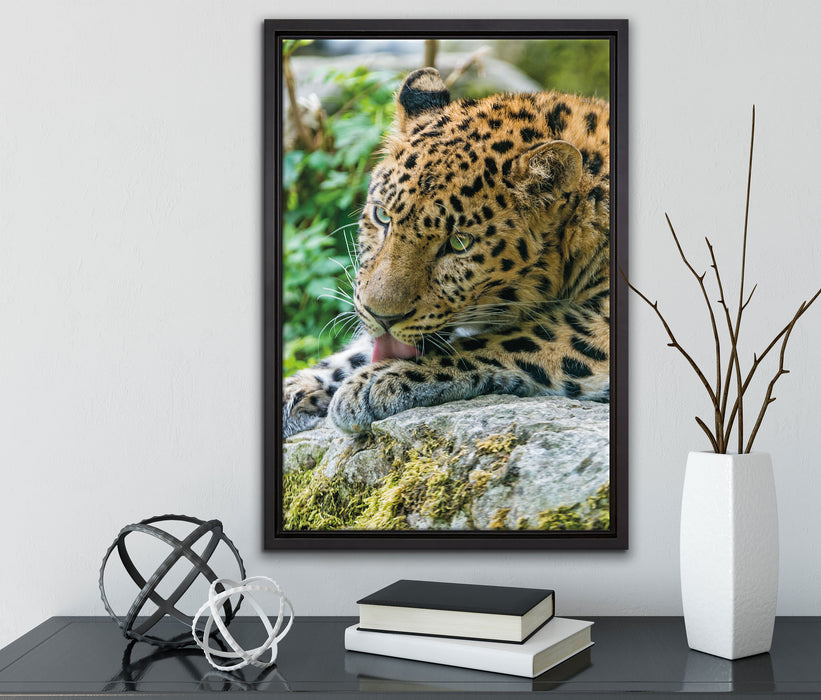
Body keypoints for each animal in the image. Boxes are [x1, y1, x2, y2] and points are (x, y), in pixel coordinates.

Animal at [283, 67, 610, 438]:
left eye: (458, 244)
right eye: (382, 216)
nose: (382, 316)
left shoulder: (598, 323)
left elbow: (513, 339)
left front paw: (375, 381)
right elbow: (361, 349)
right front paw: (298, 387)